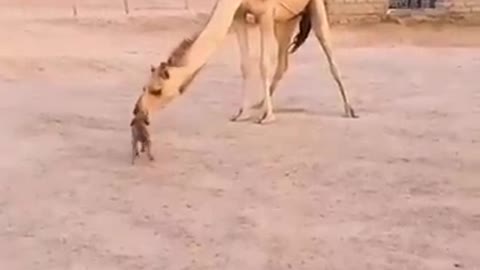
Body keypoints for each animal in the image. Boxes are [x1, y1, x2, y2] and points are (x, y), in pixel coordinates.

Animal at [133, 0, 358, 124]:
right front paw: (241, 113)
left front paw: (267, 117)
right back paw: (259, 104)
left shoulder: (265, 12)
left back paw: (350, 109)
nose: (139, 112)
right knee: (283, 61)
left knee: (327, 47)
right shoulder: (240, 14)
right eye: (144, 87)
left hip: (310, 6)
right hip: (287, 17)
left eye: (157, 90)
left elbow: (263, 63)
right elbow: (246, 64)